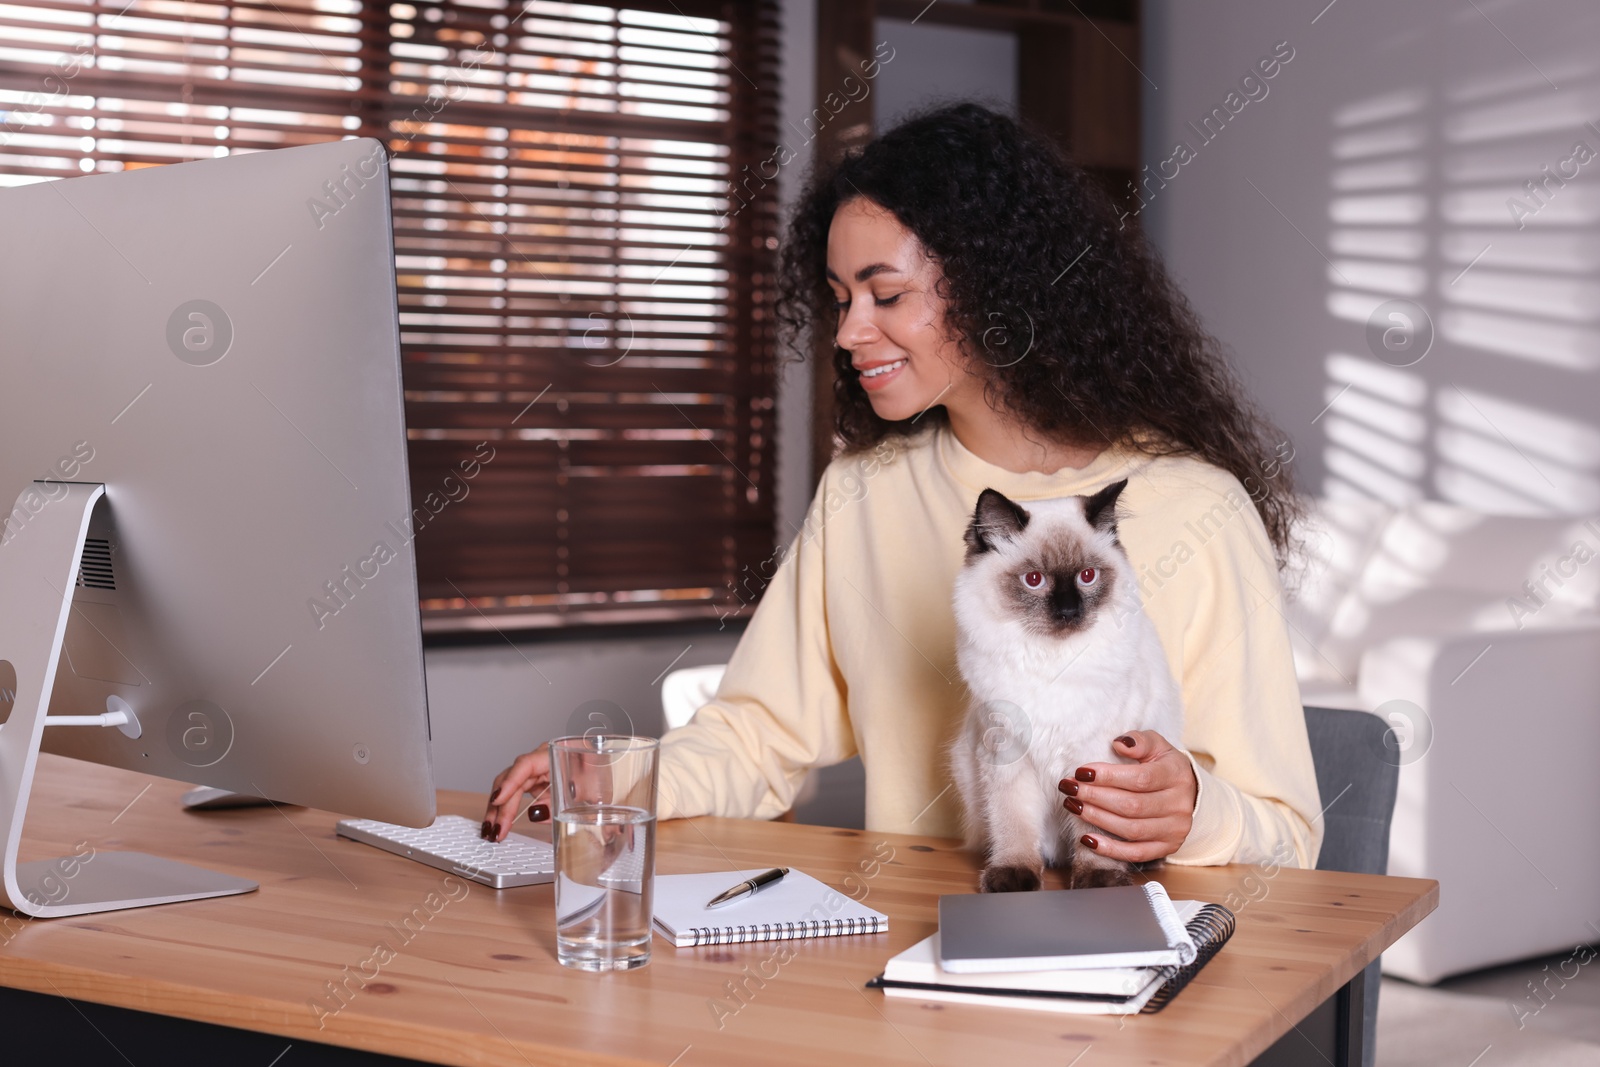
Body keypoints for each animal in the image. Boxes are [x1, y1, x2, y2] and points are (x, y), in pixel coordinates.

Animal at [947, 483, 1190, 895]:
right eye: (1033, 580)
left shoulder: (1094, 759)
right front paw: (1013, 878)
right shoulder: (1008, 753)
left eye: (1087, 576)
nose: (1068, 611)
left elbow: (1094, 832)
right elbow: (1014, 825)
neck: (1052, 663)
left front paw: (1099, 881)